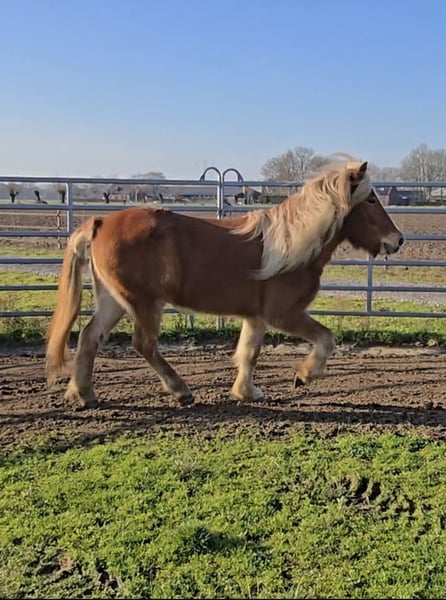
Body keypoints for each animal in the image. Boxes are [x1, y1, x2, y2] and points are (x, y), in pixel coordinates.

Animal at [46, 160, 404, 409]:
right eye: (371, 200)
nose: (398, 240)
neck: (294, 244)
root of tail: (100, 222)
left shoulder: (257, 318)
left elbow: (249, 353)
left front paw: (247, 392)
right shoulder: (285, 315)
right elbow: (326, 340)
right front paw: (303, 375)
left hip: (114, 300)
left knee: (90, 337)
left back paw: (84, 394)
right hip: (142, 301)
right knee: (143, 344)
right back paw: (181, 391)